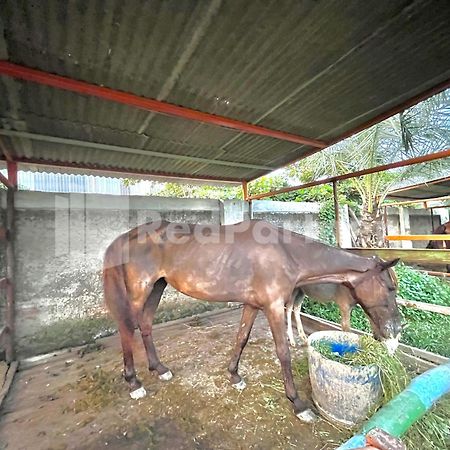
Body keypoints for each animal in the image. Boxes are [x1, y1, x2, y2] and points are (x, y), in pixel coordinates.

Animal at [103, 220, 400, 424]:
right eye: (389, 287)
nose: (396, 329)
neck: (286, 253)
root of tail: (126, 237)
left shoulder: (252, 305)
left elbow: (241, 338)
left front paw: (234, 376)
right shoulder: (273, 307)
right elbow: (283, 352)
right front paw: (298, 404)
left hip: (157, 288)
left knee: (146, 325)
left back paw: (159, 368)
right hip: (140, 292)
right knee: (128, 329)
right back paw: (134, 383)